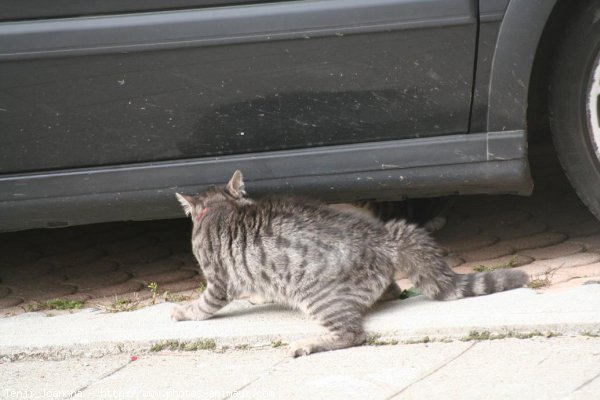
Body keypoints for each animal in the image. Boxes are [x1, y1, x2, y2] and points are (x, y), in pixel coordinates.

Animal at [171, 170, 528, 358]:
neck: (222, 207)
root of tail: (381, 236)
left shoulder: (217, 281)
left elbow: (203, 305)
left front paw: (185, 311)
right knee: (390, 290)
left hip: (318, 297)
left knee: (352, 334)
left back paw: (309, 342)